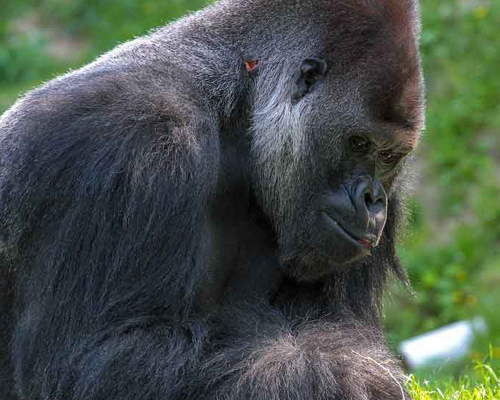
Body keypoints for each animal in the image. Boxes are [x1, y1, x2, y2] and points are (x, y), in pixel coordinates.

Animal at [0, 0, 424, 400]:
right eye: (358, 143)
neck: (240, 107)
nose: (373, 198)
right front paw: (339, 377)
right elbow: (89, 358)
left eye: (389, 156)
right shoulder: (134, 142)